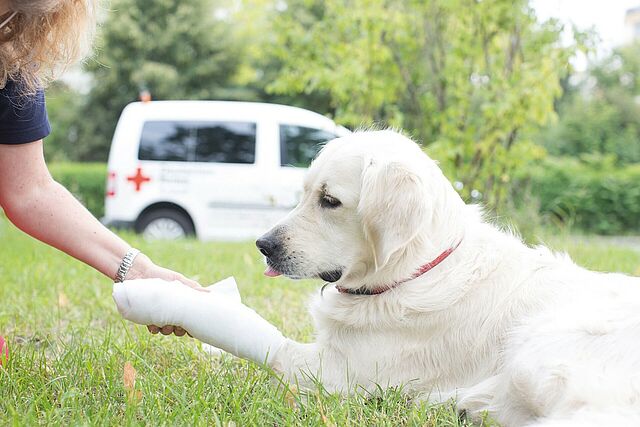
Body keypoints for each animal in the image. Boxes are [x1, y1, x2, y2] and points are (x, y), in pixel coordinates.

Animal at [255, 130, 640, 426]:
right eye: (305, 193)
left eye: (330, 200)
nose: (263, 245)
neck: (416, 272)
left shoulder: (339, 371)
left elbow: (275, 355)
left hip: (538, 349)